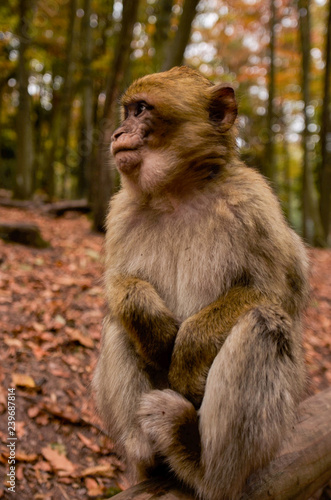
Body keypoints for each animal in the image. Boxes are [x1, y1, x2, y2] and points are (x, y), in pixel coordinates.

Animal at [92, 66, 308, 500]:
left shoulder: (252, 204)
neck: (176, 192)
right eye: (127, 110)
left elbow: (278, 290)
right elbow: (119, 285)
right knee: (116, 322)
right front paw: (152, 324)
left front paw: (188, 352)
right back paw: (146, 453)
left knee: (265, 323)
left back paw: (200, 463)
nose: (118, 133)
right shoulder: (121, 211)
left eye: (141, 110)